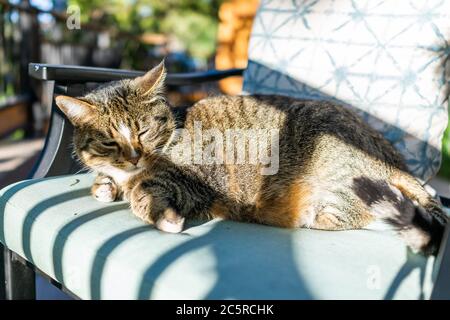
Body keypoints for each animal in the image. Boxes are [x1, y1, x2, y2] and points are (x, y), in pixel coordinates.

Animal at [54, 60, 448, 255]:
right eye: (109, 142)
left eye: (144, 131)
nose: (135, 157)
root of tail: (394, 160)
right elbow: (107, 181)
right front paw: (105, 185)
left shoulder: (196, 177)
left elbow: (145, 191)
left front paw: (160, 213)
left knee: (361, 208)